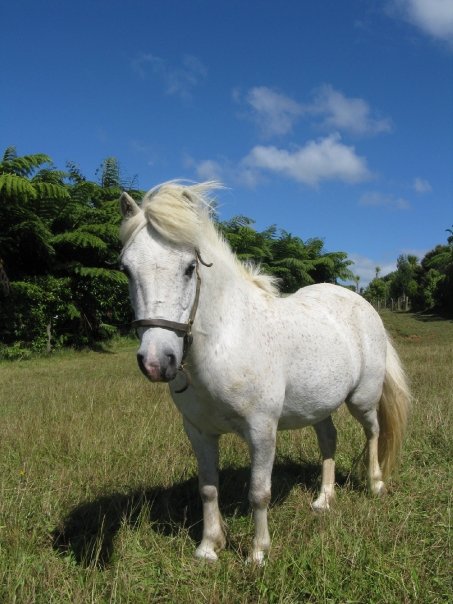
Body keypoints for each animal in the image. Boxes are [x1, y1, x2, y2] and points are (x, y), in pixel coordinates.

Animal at [119, 182, 410, 564]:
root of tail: (363, 304)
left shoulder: (261, 431)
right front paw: (209, 547)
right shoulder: (199, 432)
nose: (157, 361)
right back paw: (324, 500)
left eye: (189, 268)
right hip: (319, 406)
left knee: (373, 432)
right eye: (126, 269)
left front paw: (258, 553)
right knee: (329, 440)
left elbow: (259, 492)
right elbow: (208, 488)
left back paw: (375, 484)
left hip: (362, 399)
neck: (227, 341)